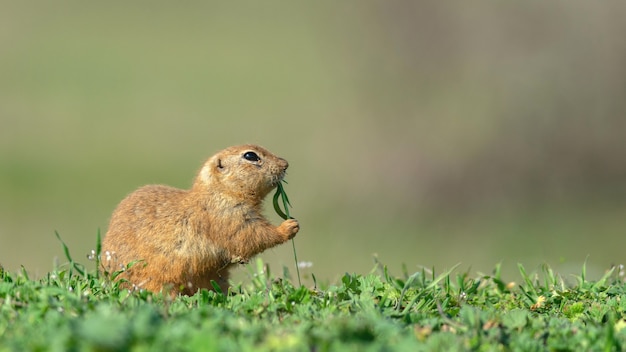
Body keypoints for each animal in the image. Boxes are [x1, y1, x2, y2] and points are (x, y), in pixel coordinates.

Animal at [100, 144, 300, 296]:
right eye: (250, 155)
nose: (286, 164)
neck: (219, 192)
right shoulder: (228, 215)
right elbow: (250, 235)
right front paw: (290, 225)